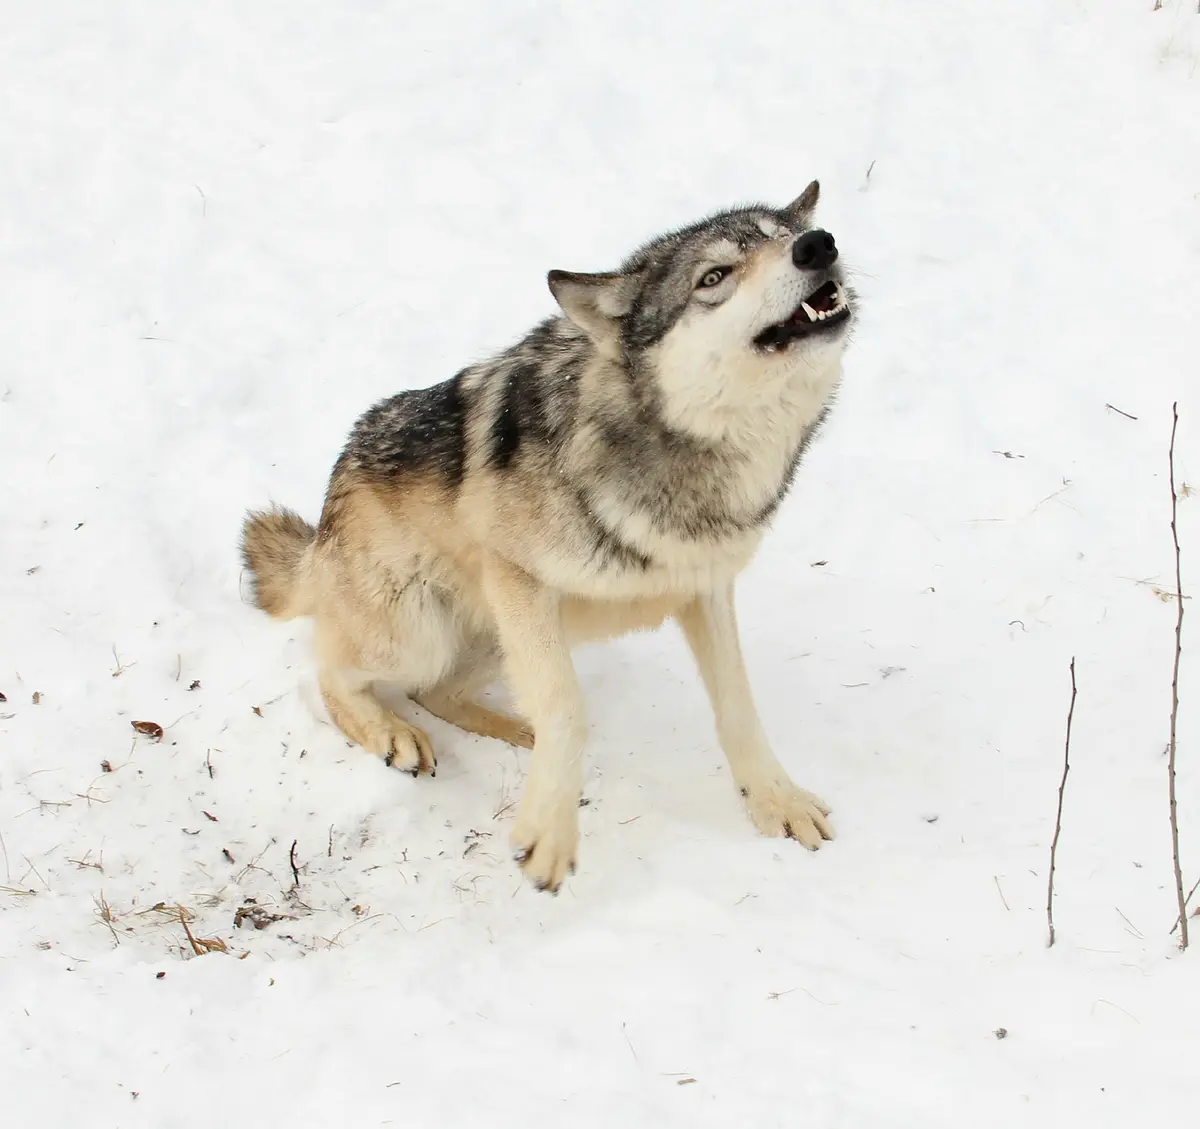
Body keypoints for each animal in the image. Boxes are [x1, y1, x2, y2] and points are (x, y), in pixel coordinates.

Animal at [240, 180, 856, 893]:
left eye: (784, 237)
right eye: (715, 277)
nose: (818, 245)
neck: (688, 456)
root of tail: (321, 530)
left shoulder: (706, 589)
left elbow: (738, 706)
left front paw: (777, 801)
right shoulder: (518, 578)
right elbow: (566, 705)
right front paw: (550, 834)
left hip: (512, 636)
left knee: (438, 691)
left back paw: (516, 731)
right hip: (420, 632)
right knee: (333, 671)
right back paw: (395, 735)